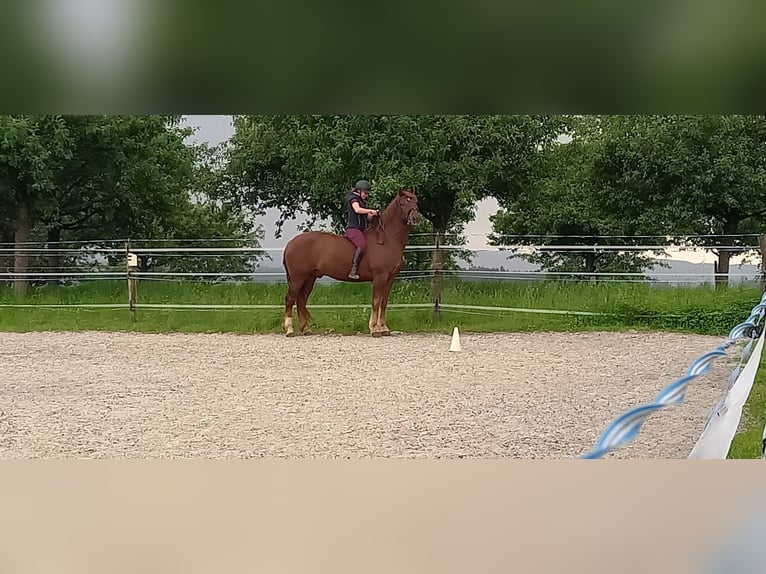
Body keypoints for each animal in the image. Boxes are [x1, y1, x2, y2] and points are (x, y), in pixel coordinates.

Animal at [282, 188, 424, 338]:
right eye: (403, 203)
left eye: (415, 201)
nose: (415, 218)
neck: (387, 239)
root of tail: (290, 244)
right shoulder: (379, 277)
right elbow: (376, 302)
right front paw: (374, 329)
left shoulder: (390, 278)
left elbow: (383, 303)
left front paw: (384, 328)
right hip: (298, 278)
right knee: (290, 299)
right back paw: (289, 329)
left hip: (310, 278)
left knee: (301, 299)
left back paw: (305, 329)